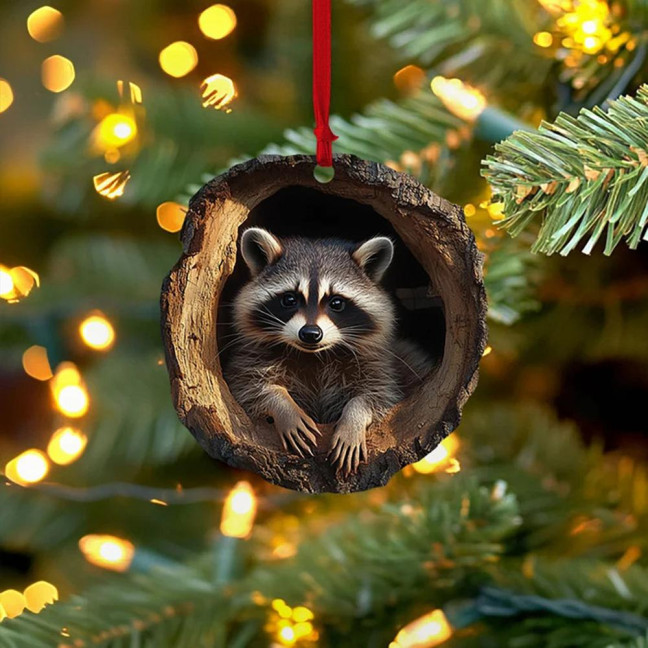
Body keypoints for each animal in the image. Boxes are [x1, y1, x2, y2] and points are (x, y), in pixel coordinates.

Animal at [224, 227, 432, 474]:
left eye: (336, 303)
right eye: (289, 299)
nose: (310, 334)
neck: (314, 355)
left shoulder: (377, 364)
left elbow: (379, 396)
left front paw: (354, 419)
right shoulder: (251, 358)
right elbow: (247, 387)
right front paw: (283, 405)